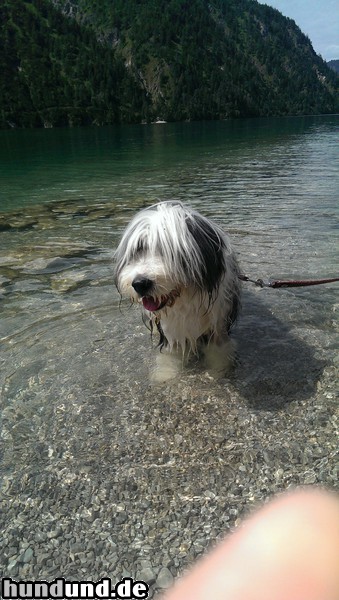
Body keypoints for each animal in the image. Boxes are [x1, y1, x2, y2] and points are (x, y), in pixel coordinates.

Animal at [115, 200, 242, 380]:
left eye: (171, 253)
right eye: (139, 248)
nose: (140, 283)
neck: (186, 299)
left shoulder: (219, 322)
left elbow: (218, 351)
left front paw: (218, 371)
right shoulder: (170, 327)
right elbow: (172, 352)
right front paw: (166, 374)